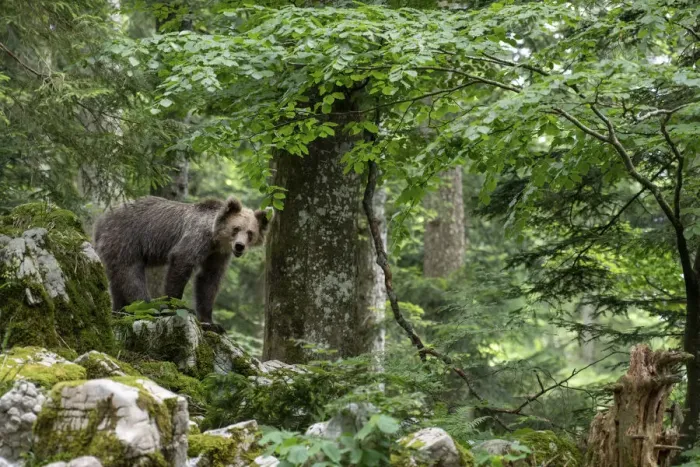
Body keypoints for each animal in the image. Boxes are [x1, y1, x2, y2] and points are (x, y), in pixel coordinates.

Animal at [93, 196, 269, 327]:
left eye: (250, 233)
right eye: (236, 228)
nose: (239, 246)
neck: (215, 238)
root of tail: (100, 220)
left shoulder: (217, 255)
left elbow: (208, 280)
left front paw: (210, 322)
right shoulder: (197, 237)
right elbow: (181, 262)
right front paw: (174, 306)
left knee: (117, 279)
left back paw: (120, 310)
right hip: (125, 238)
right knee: (130, 273)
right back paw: (148, 306)